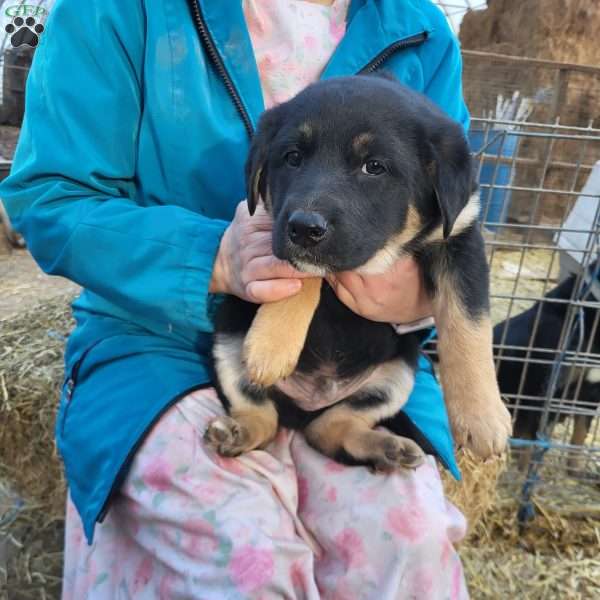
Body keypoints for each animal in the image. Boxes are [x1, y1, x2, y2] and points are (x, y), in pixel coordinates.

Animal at [206, 75, 510, 468]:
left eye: (374, 166)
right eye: (293, 158)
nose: (303, 228)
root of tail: (304, 408)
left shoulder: (460, 237)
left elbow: (469, 322)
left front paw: (481, 417)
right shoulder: (273, 226)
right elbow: (302, 274)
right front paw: (271, 345)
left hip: (396, 373)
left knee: (330, 429)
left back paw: (389, 447)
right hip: (227, 337)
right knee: (263, 416)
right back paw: (236, 430)